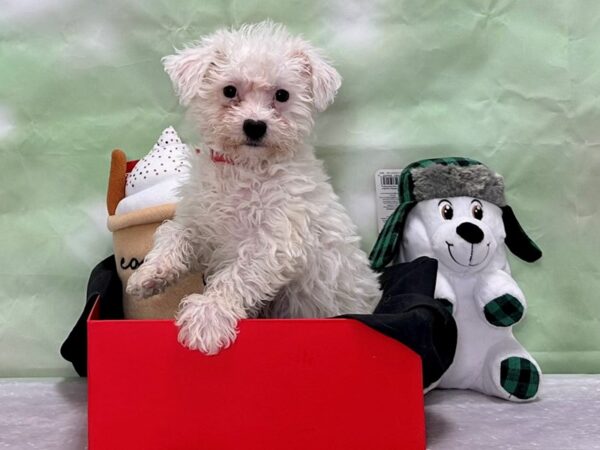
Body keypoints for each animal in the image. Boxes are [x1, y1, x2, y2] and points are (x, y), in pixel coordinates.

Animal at [126, 22, 380, 356]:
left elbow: (237, 276)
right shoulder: (200, 222)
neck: (244, 168)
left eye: (282, 95)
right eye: (229, 90)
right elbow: (173, 235)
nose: (255, 125)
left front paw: (208, 315)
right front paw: (149, 274)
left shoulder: (275, 241)